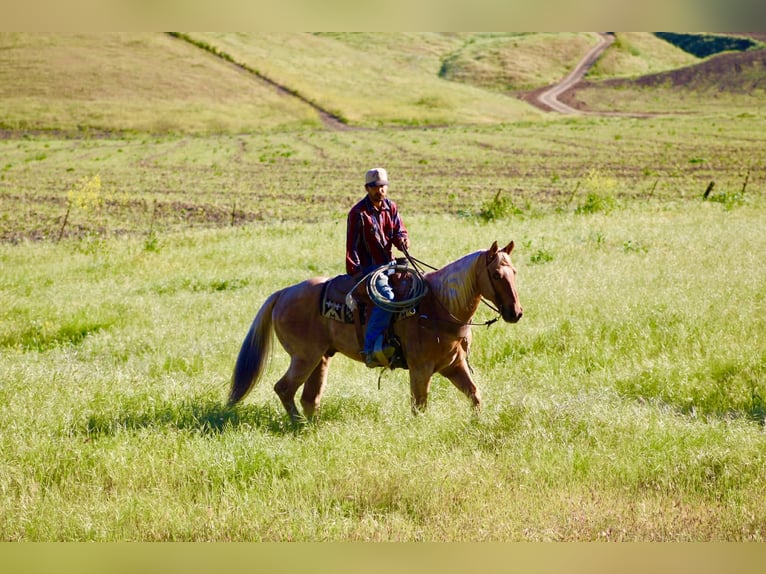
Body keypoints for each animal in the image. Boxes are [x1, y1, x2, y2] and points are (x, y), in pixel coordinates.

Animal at [228, 240, 523, 422]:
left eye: (515, 272)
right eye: (496, 275)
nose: (516, 312)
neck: (439, 306)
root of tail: (283, 293)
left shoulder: (454, 365)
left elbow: (475, 395)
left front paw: (477, 424)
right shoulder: (420, 369)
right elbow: (420, 406)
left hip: (320, 359)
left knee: (309, 398)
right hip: (304, 357)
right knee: (284, 389)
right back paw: (298, 425)